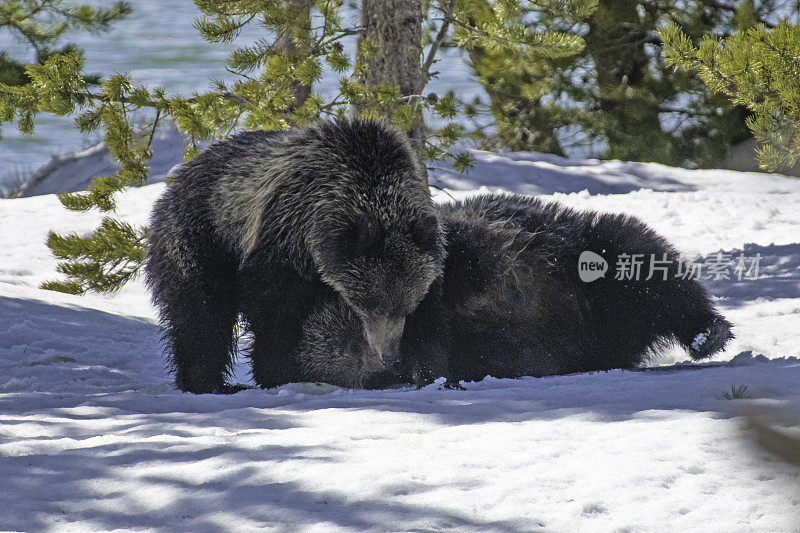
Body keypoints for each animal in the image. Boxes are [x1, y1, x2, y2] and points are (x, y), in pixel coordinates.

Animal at [144, 119, 444, 390]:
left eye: (408, 305)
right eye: (373, 305)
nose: (390, 356)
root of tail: (178, 177)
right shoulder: (282, 240)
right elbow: (275, 312)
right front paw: (279, 371)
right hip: (202, 238)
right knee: (201, 311)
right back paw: (207, 382)